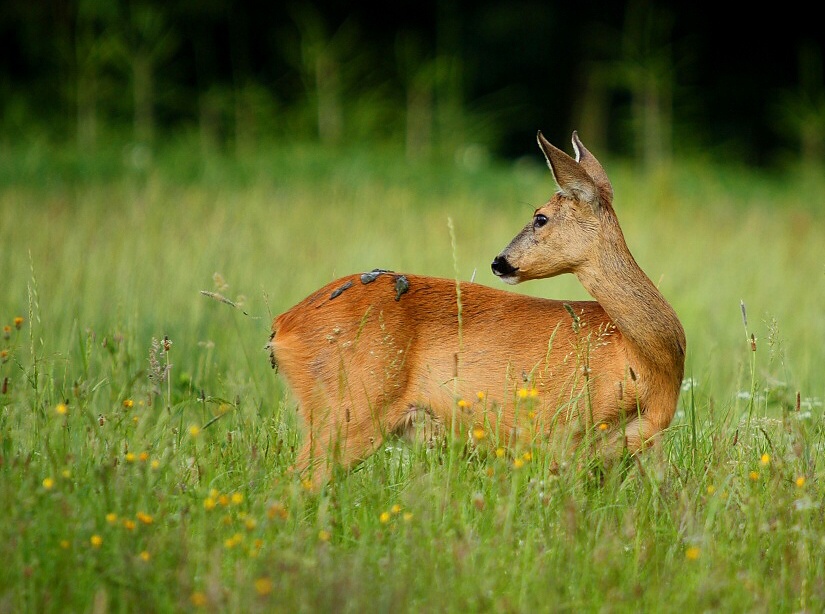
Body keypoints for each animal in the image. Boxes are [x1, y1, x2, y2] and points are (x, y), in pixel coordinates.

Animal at [268, 131, 684, 486]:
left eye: (540, 218)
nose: (499, 262)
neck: (645, 360)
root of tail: (281, 326)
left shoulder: (633, 447)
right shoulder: (561, 433)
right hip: (348, 407)